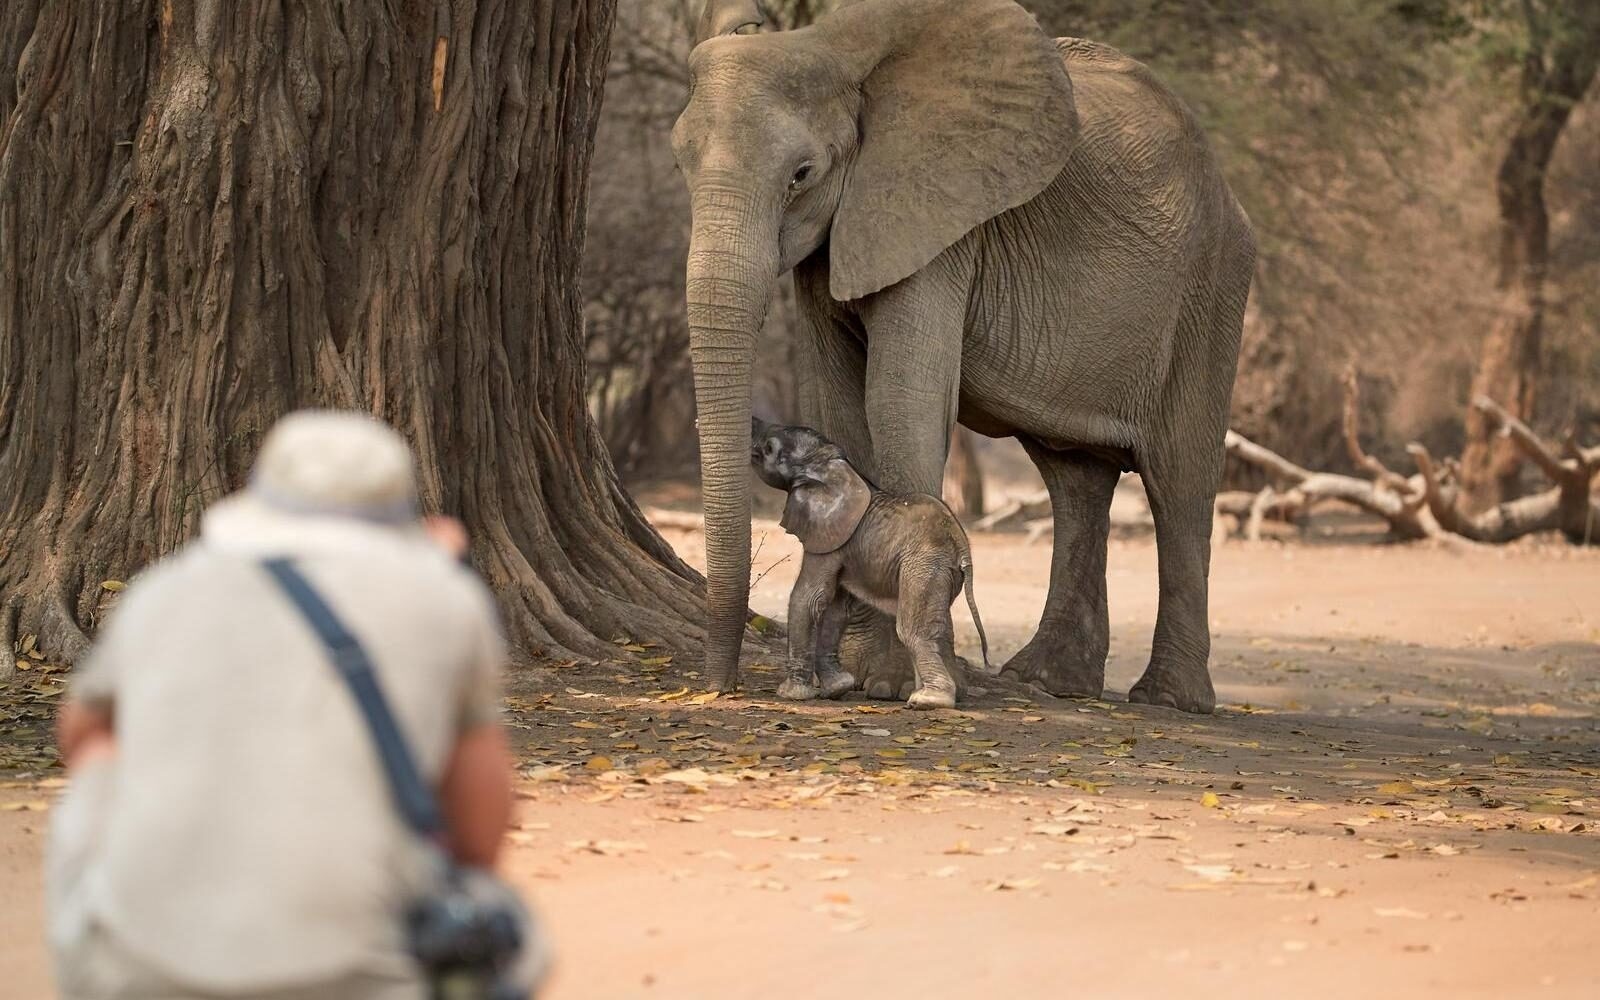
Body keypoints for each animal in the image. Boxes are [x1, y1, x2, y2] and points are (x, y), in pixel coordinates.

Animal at [751, 417, 992, 709]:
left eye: (769, 448)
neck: (832, 466)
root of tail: (963, 547)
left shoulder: (827, 537)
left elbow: (809, 598)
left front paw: (790, 694)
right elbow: (835, 607)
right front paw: (836, 689)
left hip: (924, 564)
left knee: (912, 630)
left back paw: (927, 700)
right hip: (940, 570)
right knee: (938, 627)